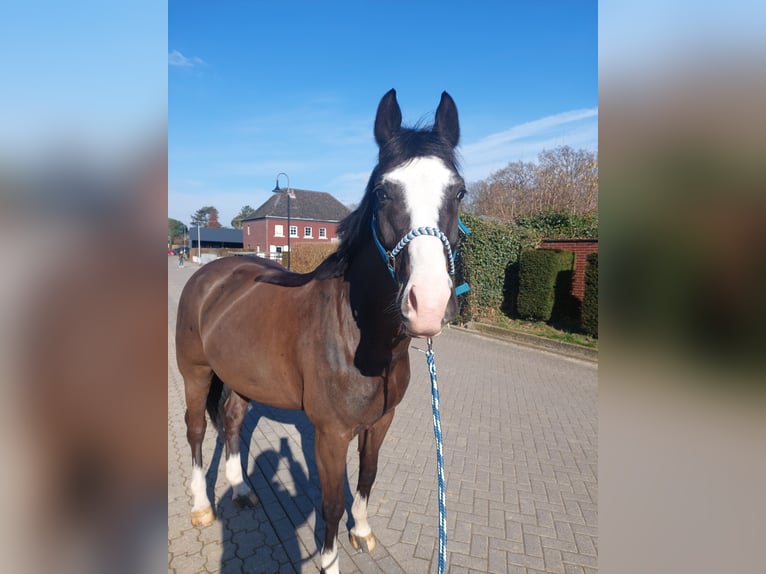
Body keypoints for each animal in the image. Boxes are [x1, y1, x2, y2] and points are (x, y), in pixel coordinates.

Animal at [177, 89, 468, 572]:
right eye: (383, 191)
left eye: (459, 191)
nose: (428, 304)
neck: (359, 338)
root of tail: (209, 273)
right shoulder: (330, 434)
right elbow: (330, 503)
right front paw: (329, 561)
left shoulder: (380, 421)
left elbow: (367, 476)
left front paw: (362, 532)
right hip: (195, 374)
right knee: (197, 430)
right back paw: (202, 506)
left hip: (240, 376)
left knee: (233, 421)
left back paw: (241, 489)